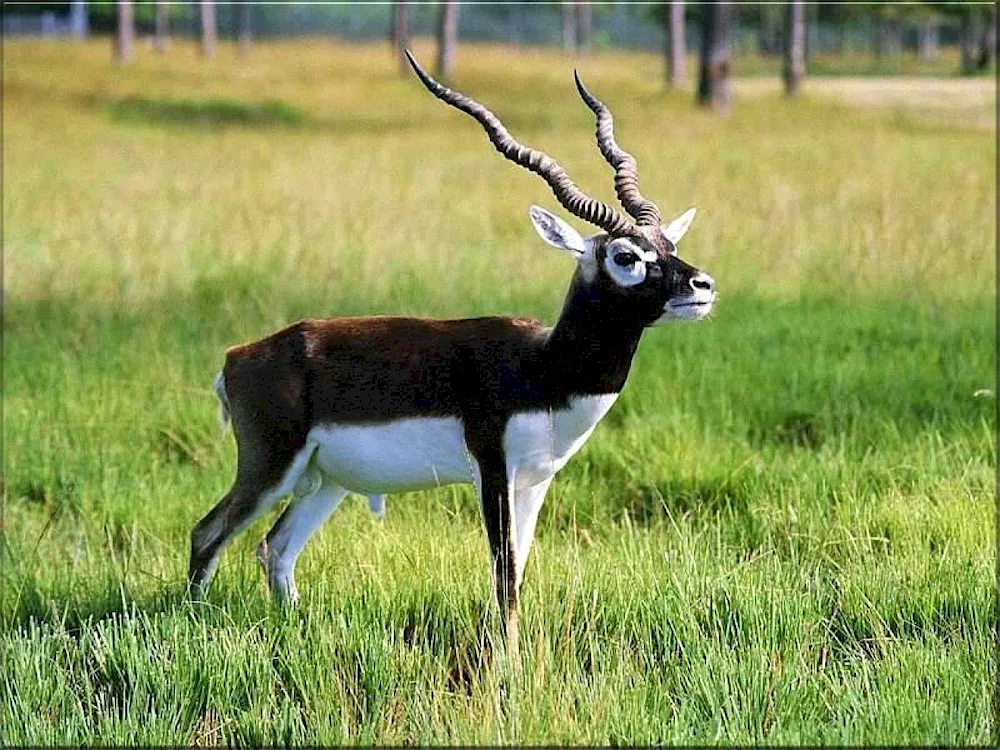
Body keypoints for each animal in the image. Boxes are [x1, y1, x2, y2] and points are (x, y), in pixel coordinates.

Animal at [188, 54, 716, 652]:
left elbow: (520, 571)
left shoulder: (536, 482)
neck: (543, 368)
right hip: (269, 466)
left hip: (327, 481)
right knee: (208, 533)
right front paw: (509, 662)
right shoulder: (493, 469)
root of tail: (238, 356)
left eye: (670, 246)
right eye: (627, 256)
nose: (702, 286)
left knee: (274, 548)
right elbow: (503, 573)